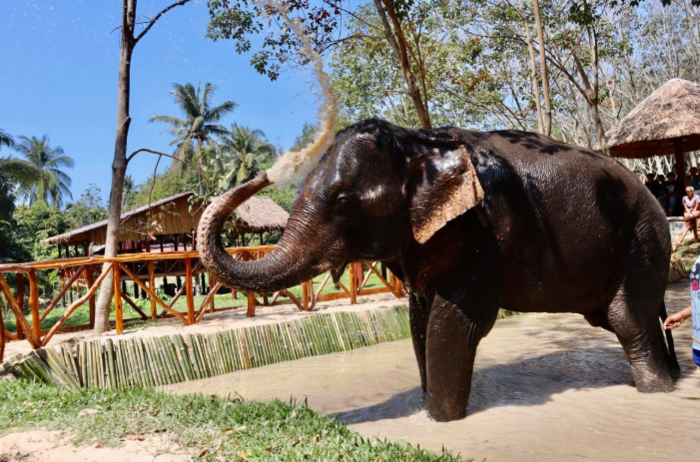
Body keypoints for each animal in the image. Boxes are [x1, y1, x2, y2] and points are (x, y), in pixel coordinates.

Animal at [200, 118, 680, 422]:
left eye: (342, 200)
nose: (265, 172)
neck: (416, 140)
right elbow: (418, 320)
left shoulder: (484, 232)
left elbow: (451, 324)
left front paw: (441, 422)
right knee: (633, 320)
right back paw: (671, 378)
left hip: (644, 239)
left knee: (626, 320)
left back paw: (658, 392)